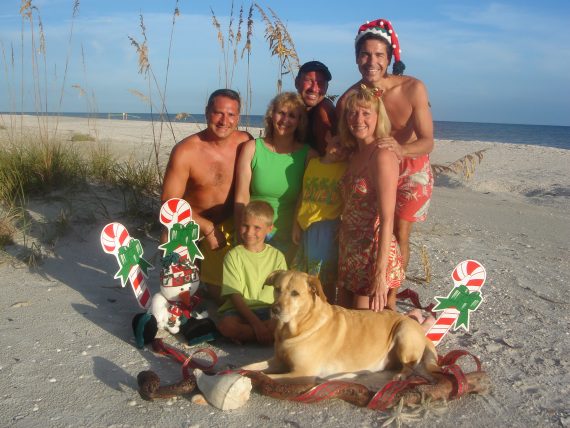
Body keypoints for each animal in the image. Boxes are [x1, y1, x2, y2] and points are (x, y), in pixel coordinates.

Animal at [242, 270, 438, 382]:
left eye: (295, 293)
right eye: (277, 289)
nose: (274, 309)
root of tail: (419, 329)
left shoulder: (302, 373)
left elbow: (266, 377)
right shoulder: (277, 360)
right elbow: (253, 366)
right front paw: (241, 370)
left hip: (403, 332)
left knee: (411, 367)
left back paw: (401, 375)